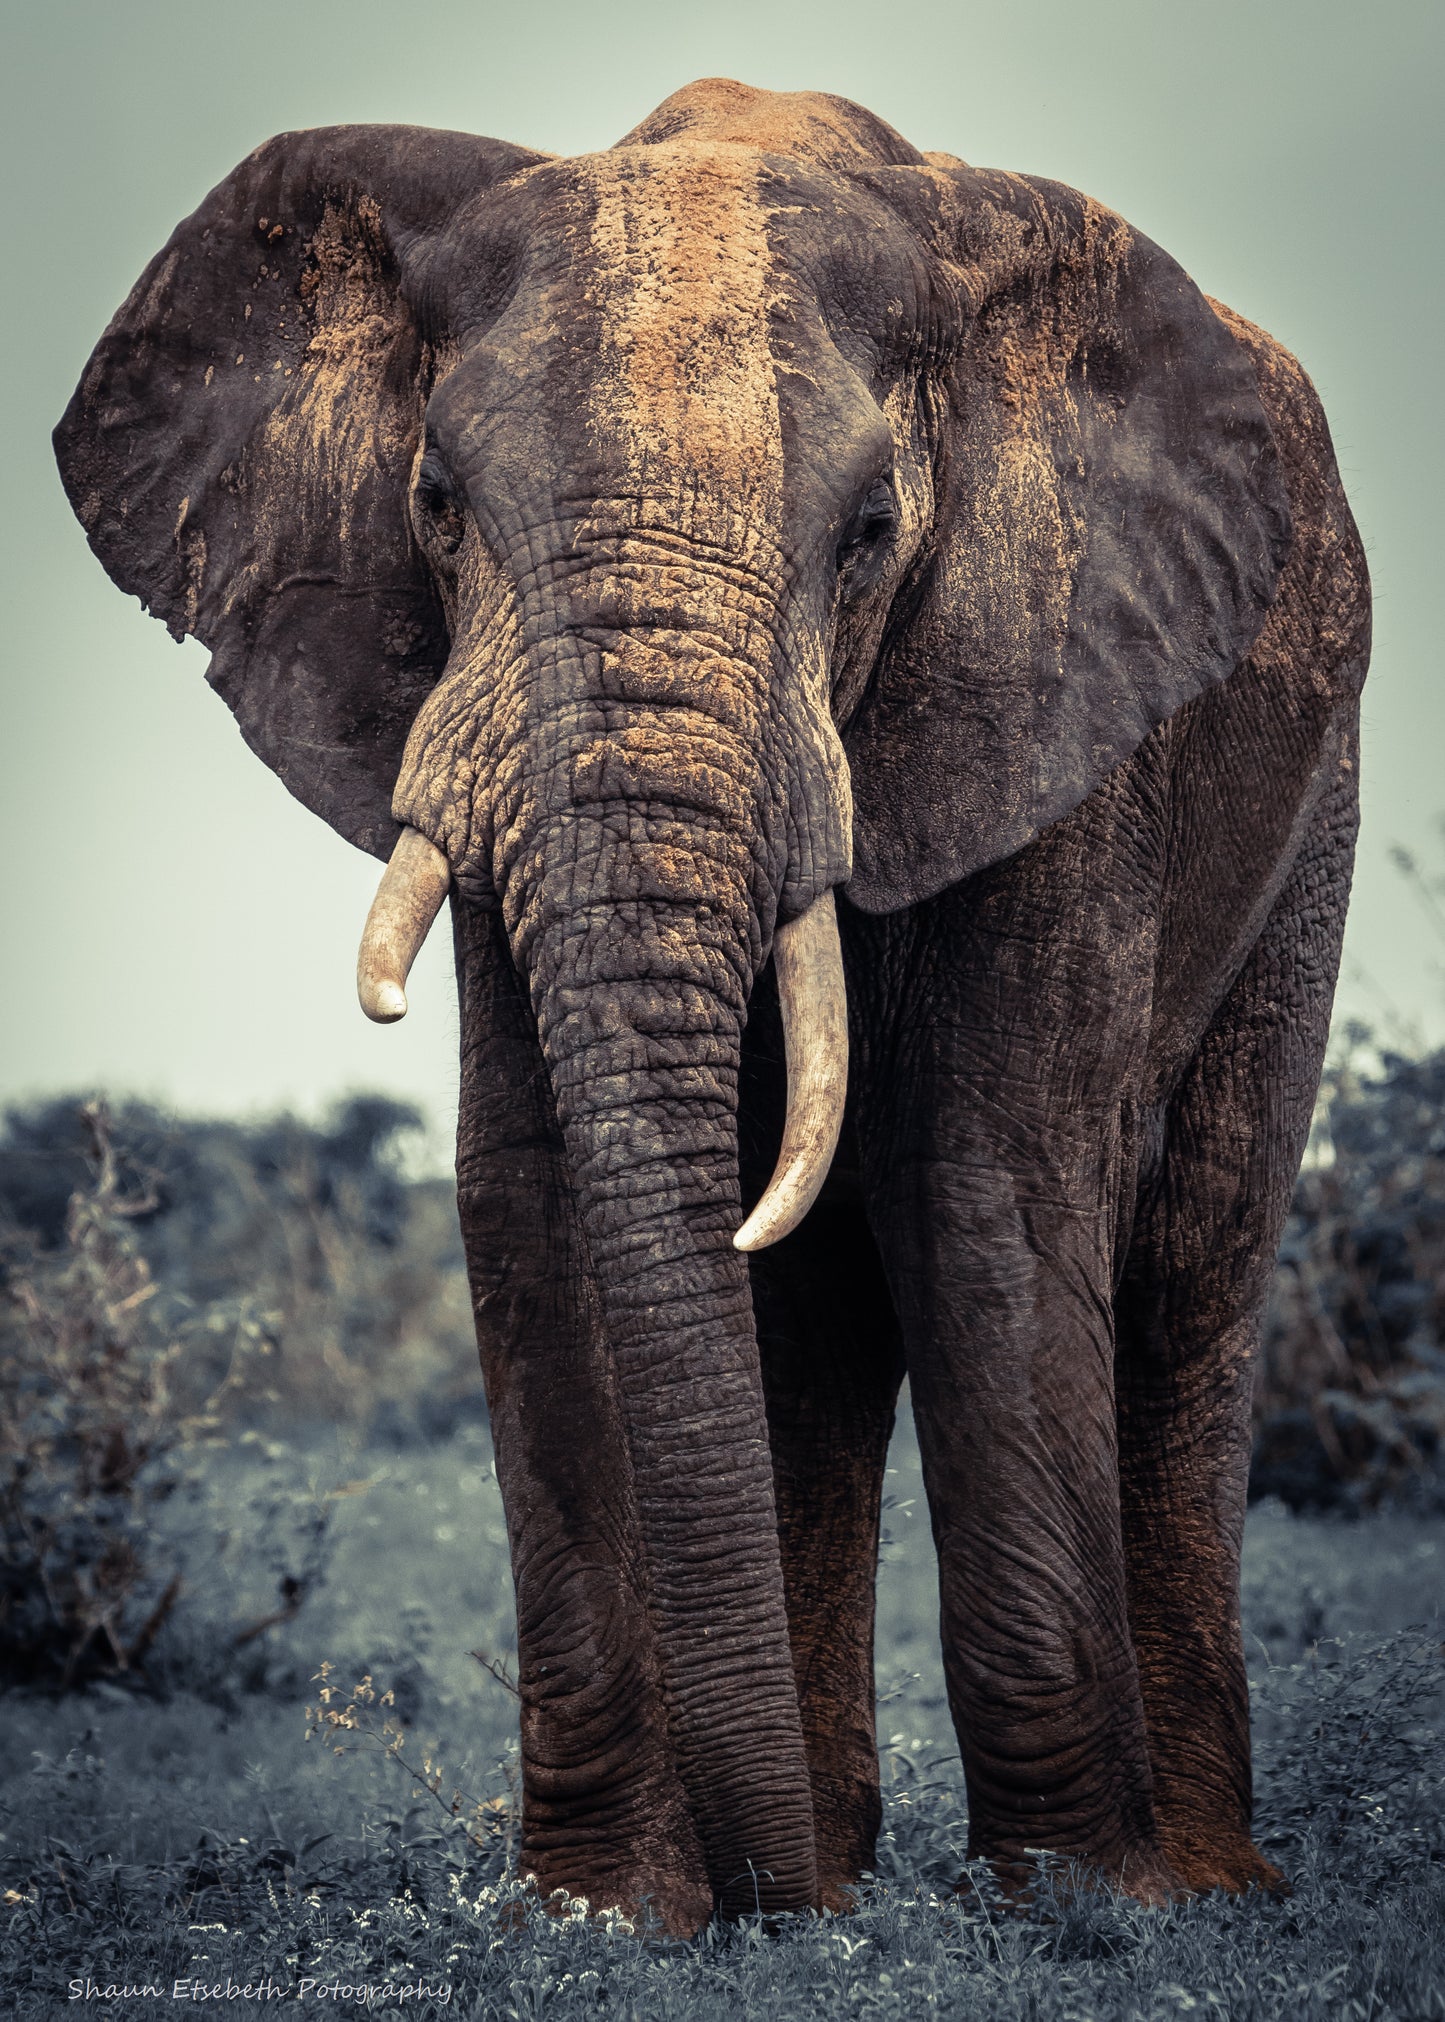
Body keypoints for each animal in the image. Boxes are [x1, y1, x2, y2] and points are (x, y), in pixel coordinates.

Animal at [55, 77, 1369, 1932]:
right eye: (437, 502)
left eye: (873, 536)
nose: (774, 1904)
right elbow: (533, 1192)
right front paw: (612, 1912)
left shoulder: (1058, 695)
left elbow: (984, 1184)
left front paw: (1078, 1902)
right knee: (812, 1324)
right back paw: (843, 1857)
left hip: (1310, 789)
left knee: (1194, 1256)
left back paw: (1198, 1887)